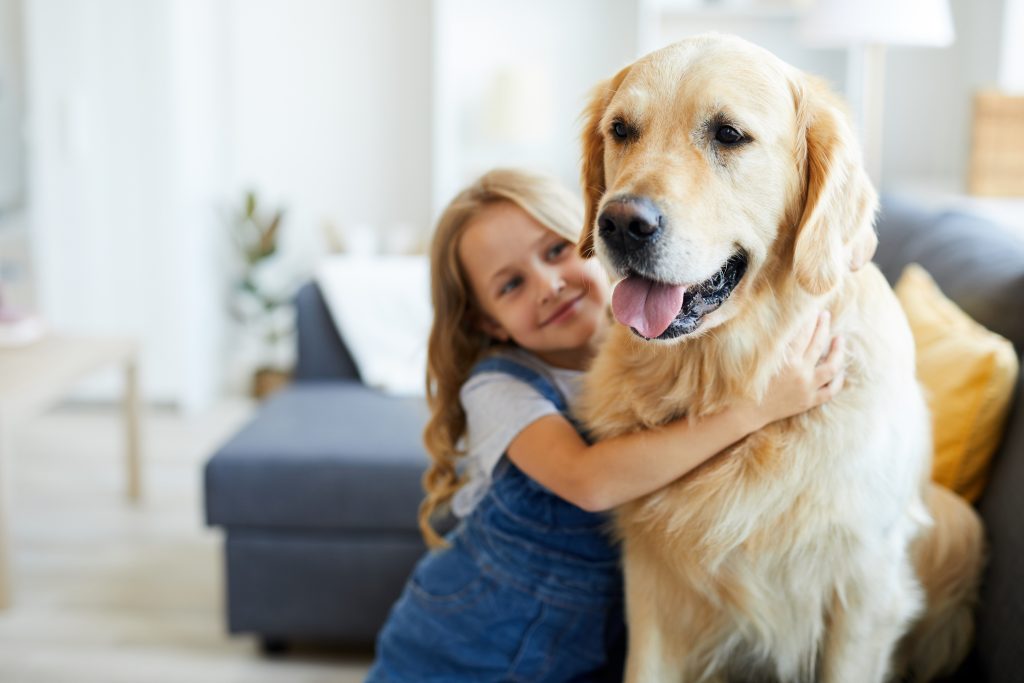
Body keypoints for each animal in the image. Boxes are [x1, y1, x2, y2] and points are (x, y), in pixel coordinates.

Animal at [577, 36, 983, 683]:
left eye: (728, 135)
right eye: (621, 130)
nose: (618, 222)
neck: (729, 375)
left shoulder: (866, 591)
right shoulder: (651, 583)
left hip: (959, 527)